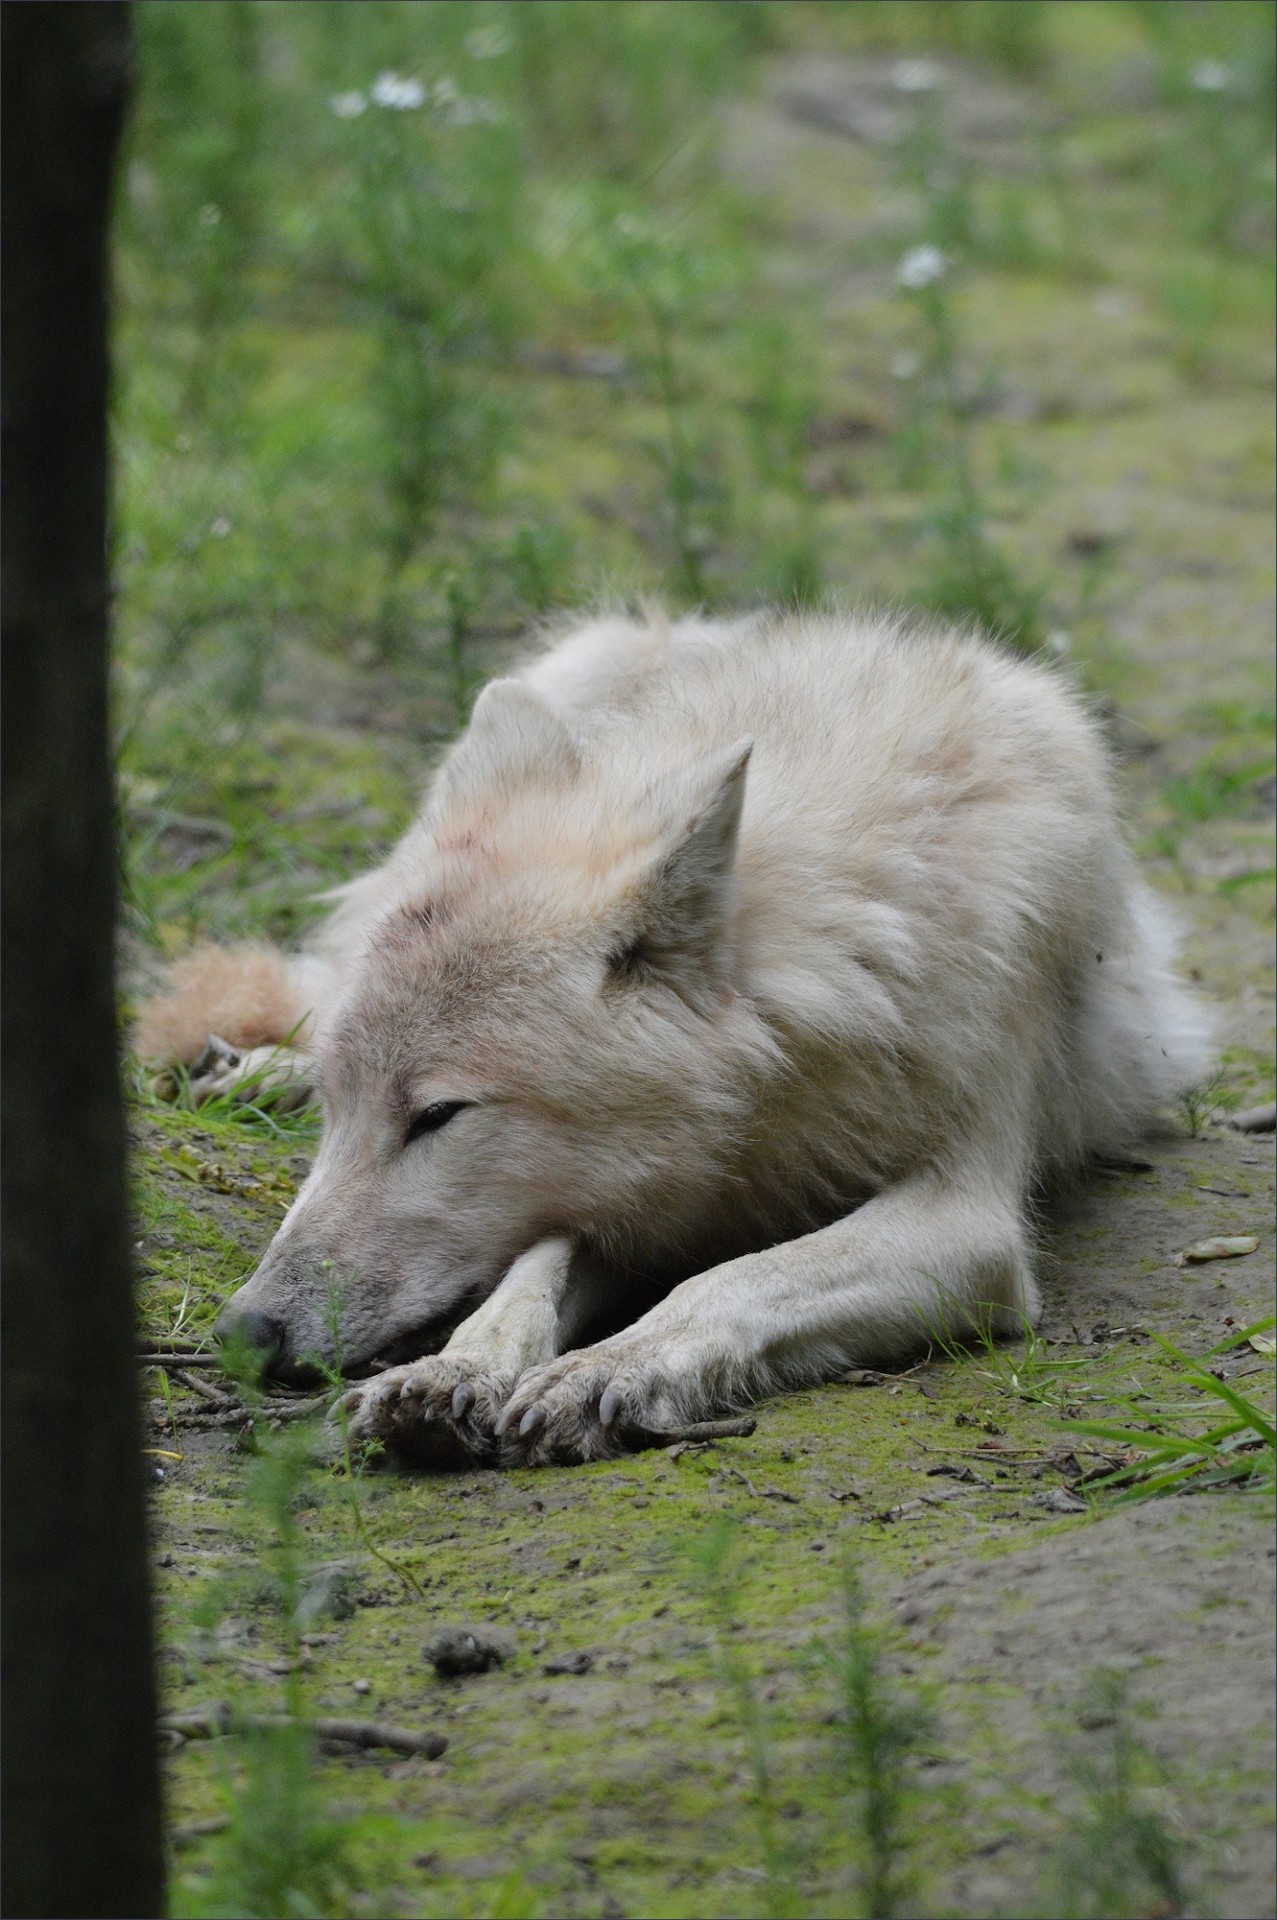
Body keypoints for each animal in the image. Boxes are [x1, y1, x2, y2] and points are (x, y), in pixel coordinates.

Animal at [137, 606, 1205, 1459]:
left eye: (437, 1117)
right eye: (346, 1109)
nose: (244, 1333)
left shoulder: (969, 1224)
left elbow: (730, 1281)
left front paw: (608, 1370)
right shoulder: (624, 1195)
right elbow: (530, 1274)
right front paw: (457, 1372)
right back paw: (250, 1070)